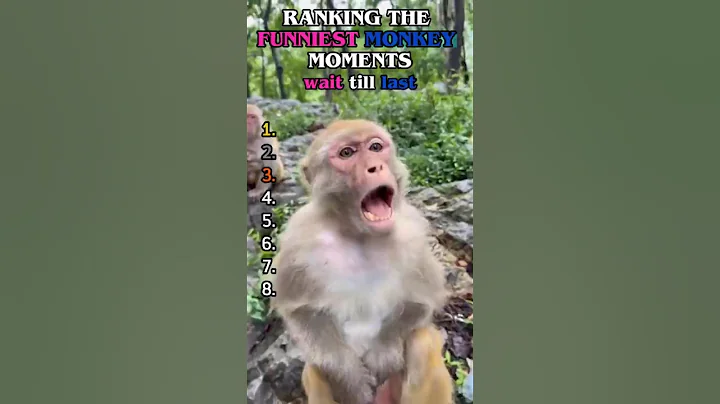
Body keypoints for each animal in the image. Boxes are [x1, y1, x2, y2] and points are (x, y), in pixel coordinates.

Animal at [270, 119, 453, 404]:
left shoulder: (413, 233)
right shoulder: (299, 238)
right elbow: (300, 310)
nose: (375, 167)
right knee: (316, 369)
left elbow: (421, 300)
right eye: (347, 153)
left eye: (376, 147)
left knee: (422, 344)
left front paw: (383, 355)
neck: (360, 234)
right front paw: (350, 379)